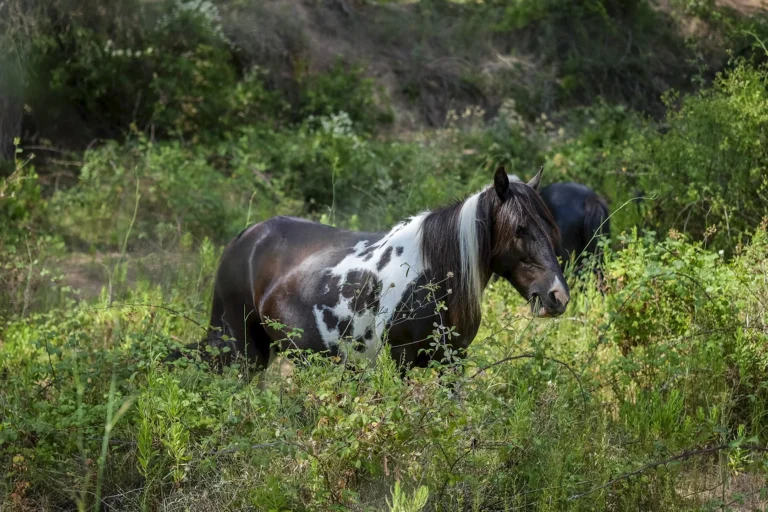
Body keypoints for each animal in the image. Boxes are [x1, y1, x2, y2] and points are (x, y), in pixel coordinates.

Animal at [193, 166, 569, 374]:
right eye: (520, 229)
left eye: (551, 228)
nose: (558, 296)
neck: (432, 276)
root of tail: (247, 237)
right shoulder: (399, 360)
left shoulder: (453, 361)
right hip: (243, 352)